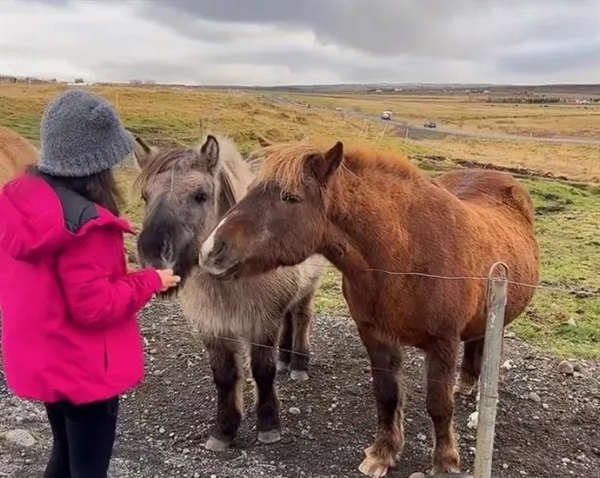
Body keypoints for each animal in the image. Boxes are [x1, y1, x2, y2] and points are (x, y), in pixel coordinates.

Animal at [199, 140, 540, 476]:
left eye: (290, 198)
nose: (210, 250)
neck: (406, 253)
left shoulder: (442, 342)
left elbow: (438, 405)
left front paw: (445, 462)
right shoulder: (376, 336)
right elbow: (387, 396)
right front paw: (383, 453)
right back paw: (466, 383)